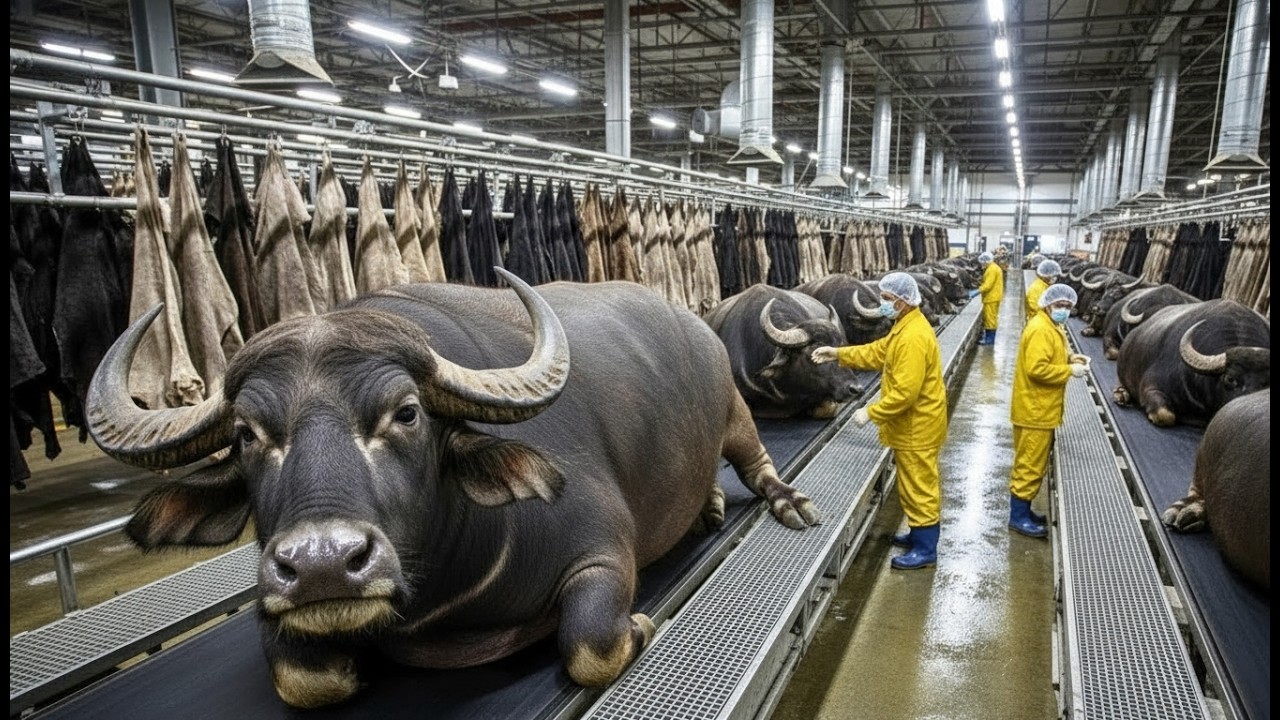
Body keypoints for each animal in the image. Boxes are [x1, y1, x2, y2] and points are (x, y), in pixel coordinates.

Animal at [86, 271, 820, 709]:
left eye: (407, 412)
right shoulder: (279, 610)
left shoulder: (605, 553)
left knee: (755, 462)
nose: (324, 566)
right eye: (244, 433)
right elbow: (304, 679)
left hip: (735, 417)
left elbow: (591, 645)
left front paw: (637, 624)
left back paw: (783, 500)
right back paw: (709, 506)